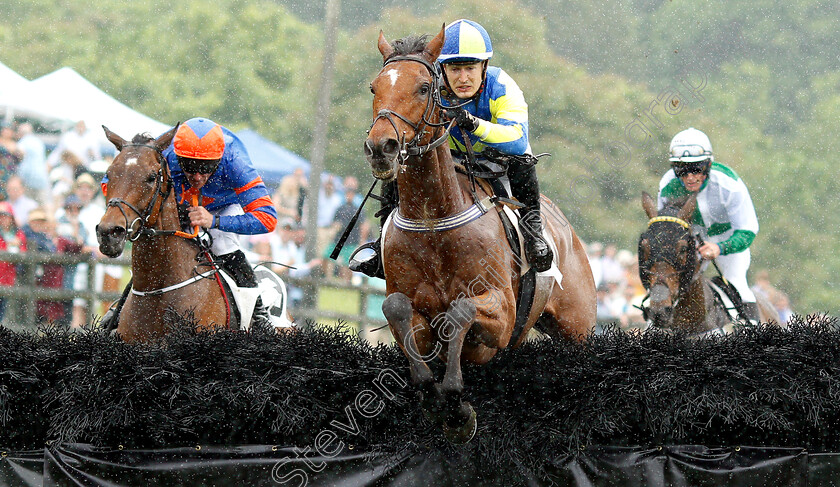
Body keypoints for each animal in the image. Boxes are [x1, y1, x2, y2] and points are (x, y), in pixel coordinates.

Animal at [364, 28, 592, 444]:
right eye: (375, 87)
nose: (380, 147)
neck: (434, 222)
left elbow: (461, 311)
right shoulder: (407, 306)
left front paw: (457, 408)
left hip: (577, 327)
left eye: (424, 88)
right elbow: (397, 309)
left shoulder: (501, 313)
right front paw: (432, 393)